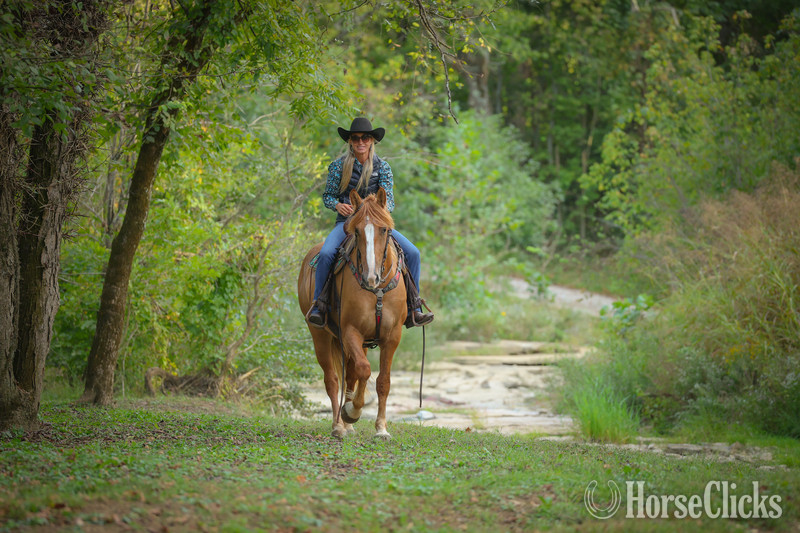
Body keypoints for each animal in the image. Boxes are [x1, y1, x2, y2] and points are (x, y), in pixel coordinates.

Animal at [297, 188, 406, 439]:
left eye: (384, 229)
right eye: (356, 231)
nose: (371, 277)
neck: (376, 290)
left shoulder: (392, 337)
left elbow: (382, 381)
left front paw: (381, 429)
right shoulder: (350, 332)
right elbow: (364, 370)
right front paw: (352, 412)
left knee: (350, 376)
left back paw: (347, 425)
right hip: (320, 336)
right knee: (333, 380)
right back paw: (339, 425)